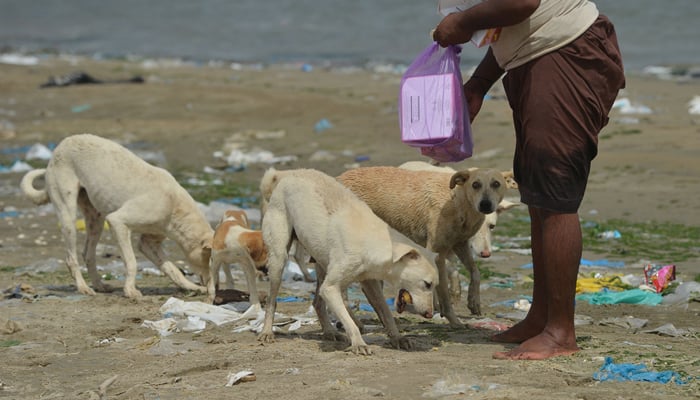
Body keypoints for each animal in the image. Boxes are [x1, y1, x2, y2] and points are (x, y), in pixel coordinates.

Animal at [20, 134, 212, 296]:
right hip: (68, 215)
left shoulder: (149, 243)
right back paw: (83, 287)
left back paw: (99, 285)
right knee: (71, 257)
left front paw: (191, 287)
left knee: (87, 254)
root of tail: (61, 145)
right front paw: (130, 291)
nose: (215, 291)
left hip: (96, 220)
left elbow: (171, 268)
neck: (174, 206)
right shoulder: (118, 223)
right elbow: (131, 262)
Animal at [260, 167, 440, 354]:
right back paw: (267, 332)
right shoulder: (330, 288)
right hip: (279, 259)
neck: (372, 242)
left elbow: (386, 312)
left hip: (322, 264)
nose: (429, 314)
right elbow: (349, 322)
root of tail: (289, 173)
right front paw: (359, 344)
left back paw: (330, 332)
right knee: (271, 301)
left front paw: (397, 338)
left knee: (317, 303)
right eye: (427, 284)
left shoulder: (370, 284)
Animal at [336, 166, 516, 324]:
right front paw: (453, 320)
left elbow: (475, 272)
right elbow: (443, 292)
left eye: (496, 184)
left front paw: (473, 301)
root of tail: (338, 177)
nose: (485, 204)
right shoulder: (437, 252)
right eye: (475, 184)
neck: (459, 202)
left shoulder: (460, 244)